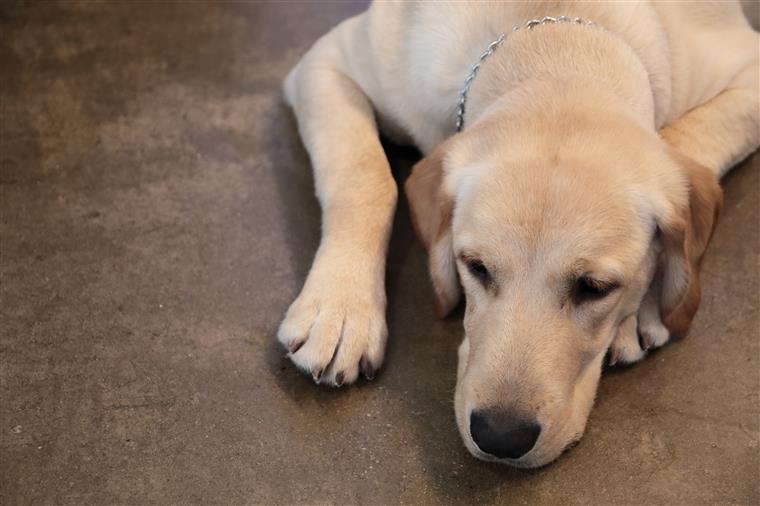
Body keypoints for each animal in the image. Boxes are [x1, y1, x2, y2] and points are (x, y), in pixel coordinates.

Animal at [280, 0, 760, 466]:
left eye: (595, 287)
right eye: (476, 267)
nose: (500, 436)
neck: (556, 46)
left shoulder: (748, 70)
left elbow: (681, 138)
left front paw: (645, 306)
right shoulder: (326, 63)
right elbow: (365, 174)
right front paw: (340, 309)